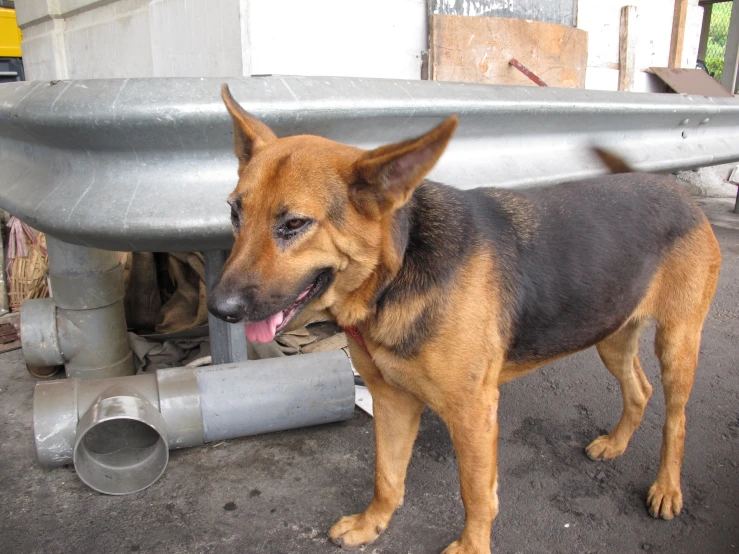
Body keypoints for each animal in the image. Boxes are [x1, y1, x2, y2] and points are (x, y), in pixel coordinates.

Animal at [208, 83, 724, 552]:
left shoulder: (473, 413)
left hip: (677, 344)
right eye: (234, 213)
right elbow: (386, 476)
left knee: (676, 418)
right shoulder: (392, 400)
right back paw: (615, 443)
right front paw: (372, 524)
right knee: (640, 389)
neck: (395, 273)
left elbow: (476, 494)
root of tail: (677, 191)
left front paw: (472, 547)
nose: (219, 307)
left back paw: (667, 488)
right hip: (611, 333)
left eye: (294, 224)